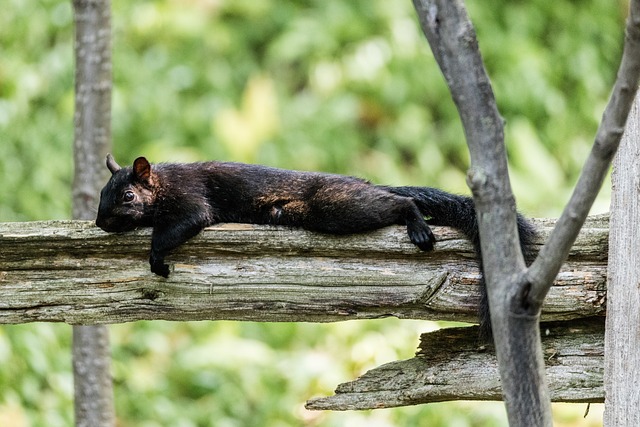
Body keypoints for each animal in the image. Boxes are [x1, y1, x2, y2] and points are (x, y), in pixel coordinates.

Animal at [95, 155, 536, 336]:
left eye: (128, 196)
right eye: (101, 193)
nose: (100, 222)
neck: (164, 183)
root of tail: (362, 181)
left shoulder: (192, 200)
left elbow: (176, 227)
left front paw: (156, 257)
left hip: (335, 207)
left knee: (399, 203)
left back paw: (417, 226)